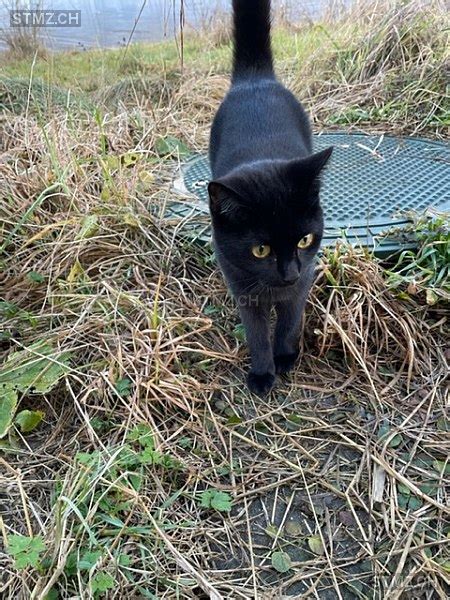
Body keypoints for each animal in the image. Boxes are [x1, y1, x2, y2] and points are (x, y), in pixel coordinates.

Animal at [207, 0, 330, 396]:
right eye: (260, 249)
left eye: (305, 239)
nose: (289, 273)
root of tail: (255, 78)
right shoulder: (241, 285)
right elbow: (257, 331)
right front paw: (262, 372)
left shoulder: (306, 276)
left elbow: (290, 317)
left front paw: (286, 356)